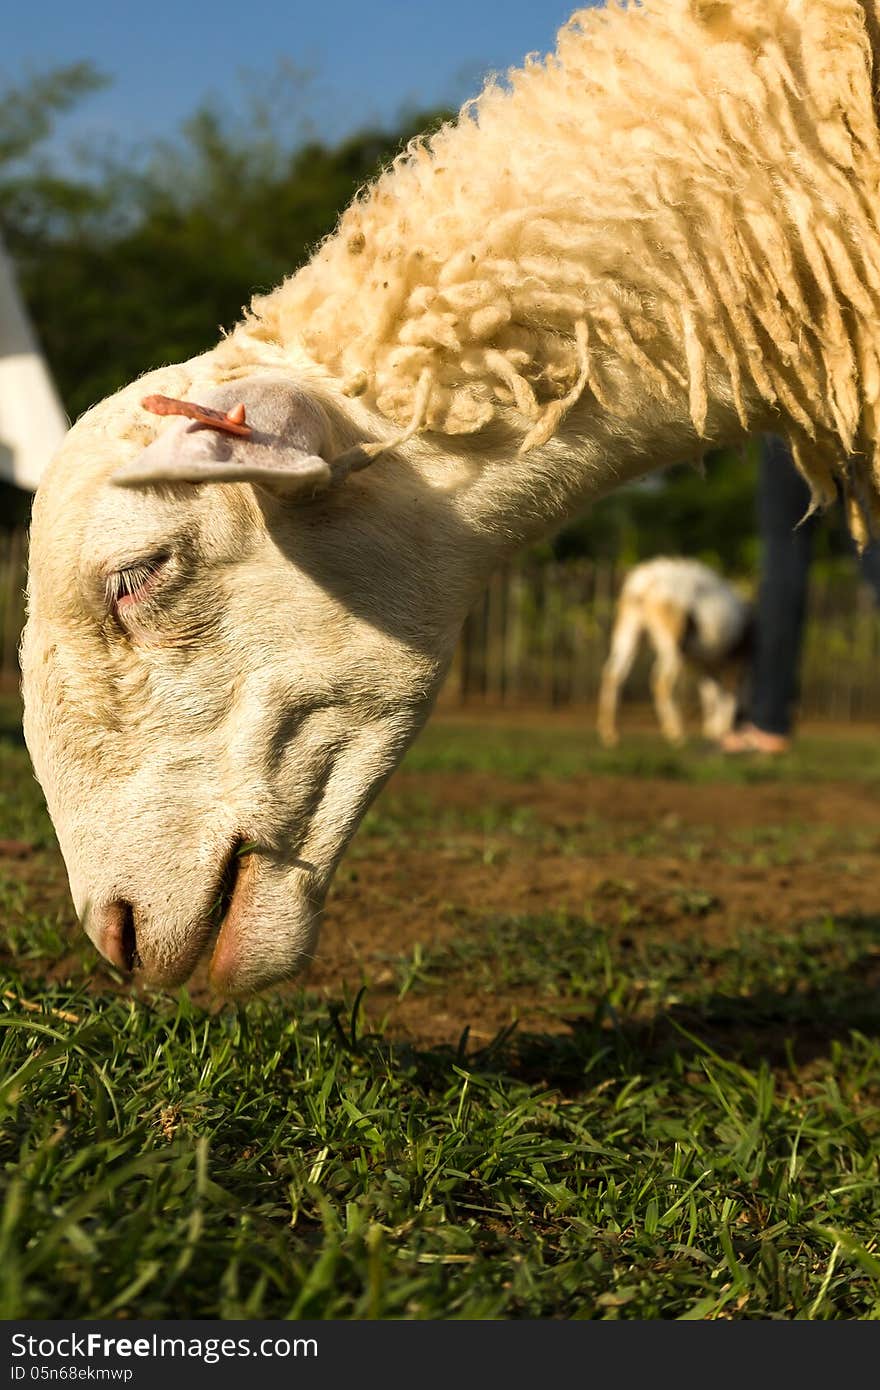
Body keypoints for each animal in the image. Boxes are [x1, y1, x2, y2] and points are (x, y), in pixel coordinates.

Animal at [597, 556, 750, 750]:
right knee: (661, 682)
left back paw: (610, 735)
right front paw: (721, 730)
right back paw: (676, 734)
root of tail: (642, 583)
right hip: (671, 645)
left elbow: (711, 694)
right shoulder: (733, 662)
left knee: (612, 675)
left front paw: (712, 731)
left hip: (629, 634)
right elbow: (728, 696)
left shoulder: (703, 665)